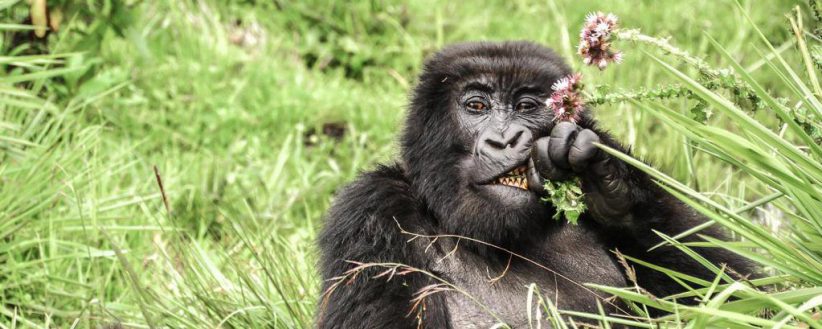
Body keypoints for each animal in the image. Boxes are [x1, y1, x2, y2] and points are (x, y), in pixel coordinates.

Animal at [316, 41, 752, 328]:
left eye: (526, 106)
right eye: (476, 106)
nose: (505, 140)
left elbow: (739, 291)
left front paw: (610, 182)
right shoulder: (373, 210)